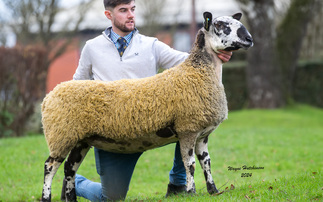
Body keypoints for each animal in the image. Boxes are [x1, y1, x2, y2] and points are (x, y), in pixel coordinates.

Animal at [40, 11, 253, 201]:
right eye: (219, 25)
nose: (249, 39)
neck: (199, 72)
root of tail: (49, 96)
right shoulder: (188, 129)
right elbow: (190, 164)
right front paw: (191, 192)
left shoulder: (202, 133)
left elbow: (206, 163)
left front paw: (213, 190)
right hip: (61, 135)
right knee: (50, 166)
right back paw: (46, 197)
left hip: (80, 139)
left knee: (69, 169)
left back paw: (70, 197)